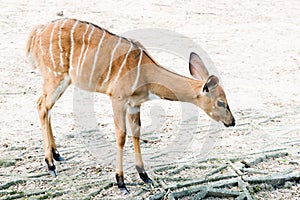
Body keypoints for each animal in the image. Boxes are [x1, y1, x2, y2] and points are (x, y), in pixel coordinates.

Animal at [25, 18, 236, 194]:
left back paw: (57, 155)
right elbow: (121, 136)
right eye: (221, 102)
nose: (232, 121)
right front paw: (121, 182)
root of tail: (37, 31)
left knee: (46, 107)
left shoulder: (135, 105)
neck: (146, 73)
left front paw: (144, 175)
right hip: (55, 77)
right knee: (42, 106)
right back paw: (50, 165)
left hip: (63, 81)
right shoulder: (118, 99)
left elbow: (136, 133)